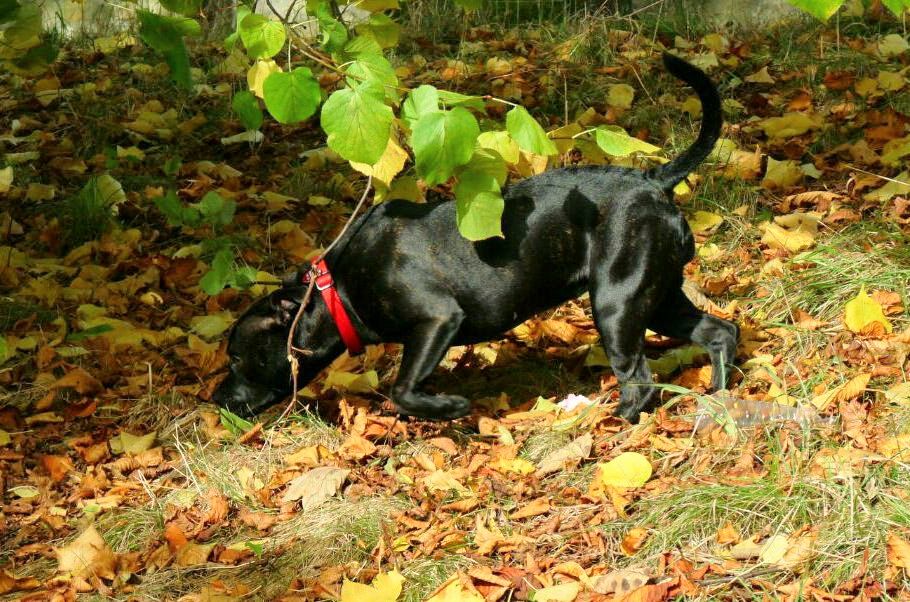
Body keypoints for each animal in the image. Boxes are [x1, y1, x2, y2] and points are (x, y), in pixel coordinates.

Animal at [214, 52, 740, 422]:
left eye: (238, 356)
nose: (215, 397)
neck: (335, 290)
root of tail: (654, 181)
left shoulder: (437, 319)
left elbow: (402, 388)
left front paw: (449, 409)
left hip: (616, 304)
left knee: (640, 380)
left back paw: (612, 423)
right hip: (657, 296)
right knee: (720, 332)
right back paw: (719, 395)